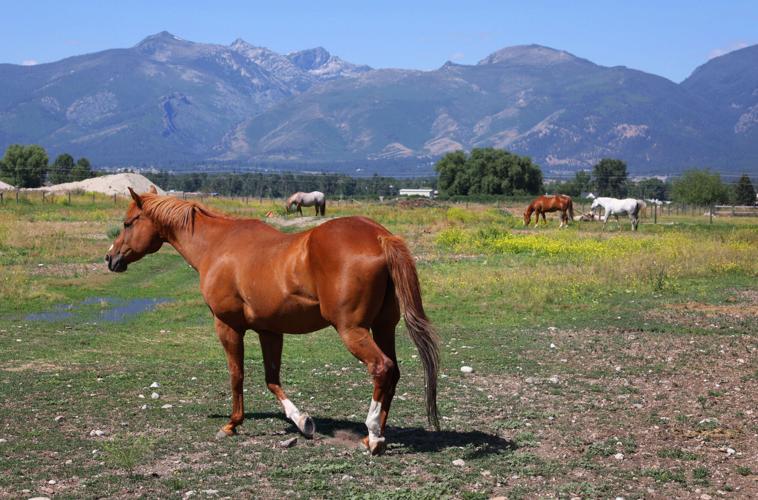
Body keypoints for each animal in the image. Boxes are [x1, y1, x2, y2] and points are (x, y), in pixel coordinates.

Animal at [105, 187, 439, 455]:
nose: (110, 258)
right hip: (383, 328)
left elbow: (237, 374)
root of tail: (379, 236)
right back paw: (374, 435)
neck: (218, 245)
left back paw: (373, 435)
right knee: (393, 372)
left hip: (352, 330)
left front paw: (232, 424)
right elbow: (272, 379)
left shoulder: (228, 326)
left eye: (127, 223)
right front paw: (302, 421)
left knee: (381, 368)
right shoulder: (269, 331)